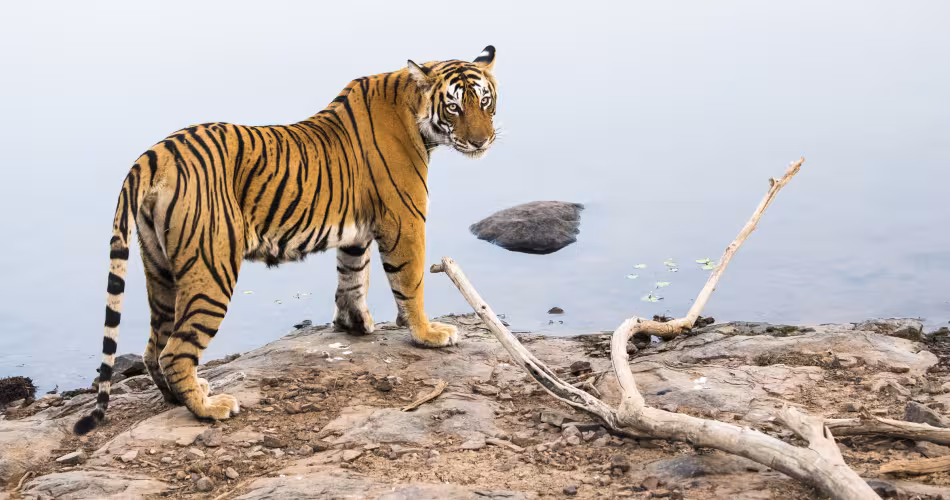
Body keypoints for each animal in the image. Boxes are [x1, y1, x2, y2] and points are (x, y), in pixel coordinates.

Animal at [73, 46, 499, 435]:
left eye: (485, 101)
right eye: (454, 108)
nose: (482, 142)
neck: (412, 107)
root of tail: (155, 153)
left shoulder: (357, 228)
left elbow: (352, 274)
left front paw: (354, 324)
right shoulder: (404, 220)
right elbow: (409, 282)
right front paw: (428, 334)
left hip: (160, 269)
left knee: (153, 348)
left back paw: (184, 396)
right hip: (211, 269)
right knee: (176, 351)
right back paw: (209, 408)